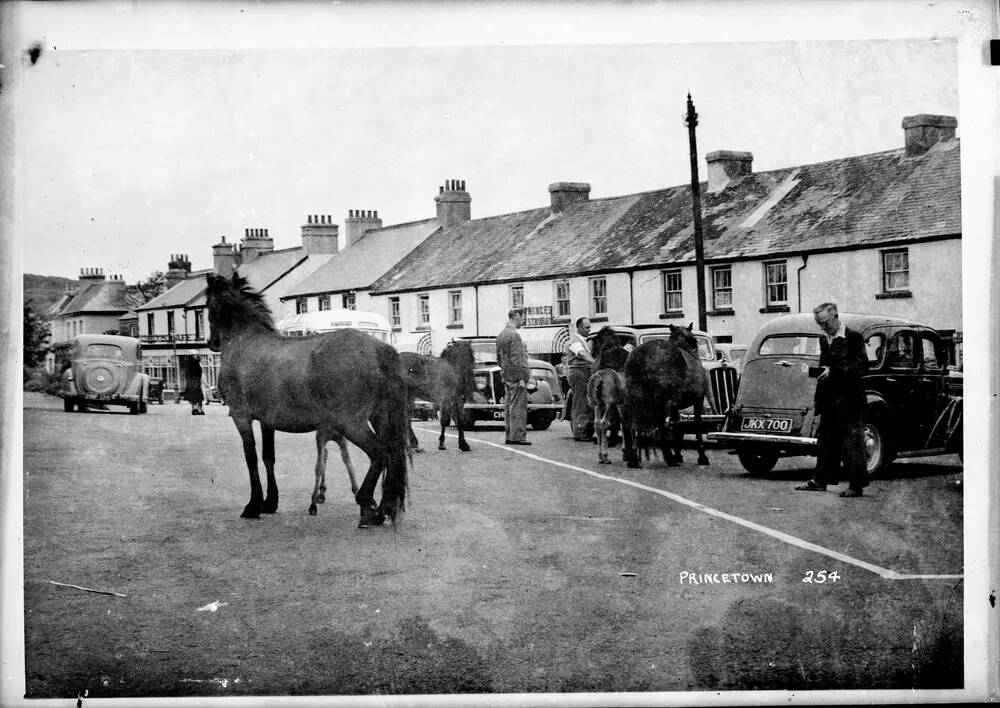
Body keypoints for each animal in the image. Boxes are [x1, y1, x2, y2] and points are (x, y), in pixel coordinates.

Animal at [205, 274, 408, 528]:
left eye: (208, 306)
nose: (212, 342)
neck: (245, 341)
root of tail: (378, 349)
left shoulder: (241, 417)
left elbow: (251, 459)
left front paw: (253, 505)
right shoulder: (267, 421)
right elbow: (268, 457)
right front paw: (269, 502)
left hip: (352, 424)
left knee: (380, 454)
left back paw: (369, 506)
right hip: (380, 418)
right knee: (391, 456)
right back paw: (383, 507)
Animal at [624, 324, 712, 470]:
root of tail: (642, 357)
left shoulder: (675, 406)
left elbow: (677, 426)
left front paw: (678, 454)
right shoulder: (698, 400)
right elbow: (697, 425)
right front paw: (702, 457)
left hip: (636, 400)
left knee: (633, 426)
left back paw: (634, 459)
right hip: (662, 402)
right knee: (660, 426)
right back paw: (669, 458)